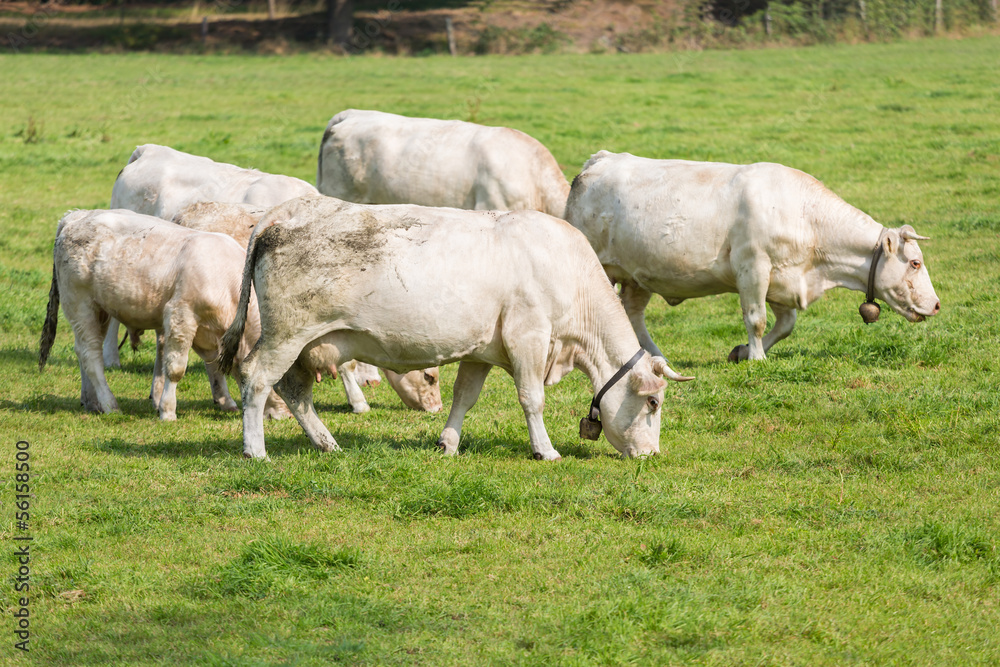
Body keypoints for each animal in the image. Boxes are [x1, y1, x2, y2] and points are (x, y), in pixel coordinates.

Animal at [37, 211, 288, 420]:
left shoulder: (210, 335)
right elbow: (175, 369)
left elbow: (216, 366)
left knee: (84, 351)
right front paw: (167, 411)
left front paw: (226, 402)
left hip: (100, 310)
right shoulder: (181, 316)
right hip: (80, 304)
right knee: (91, 354)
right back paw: (109, 404)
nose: (285, 415)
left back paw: (91, 401)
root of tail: (75, 216)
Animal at [217, 196, 688, 462]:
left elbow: (464, 397)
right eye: (652, 403)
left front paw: (447, 444)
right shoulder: (528, 337)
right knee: (256, 379)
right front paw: (546, 450)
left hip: (304, 343)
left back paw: (327, 444)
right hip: (286, 334)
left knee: (295, 392)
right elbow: (532, 399)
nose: (651, 455)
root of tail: (284, 212)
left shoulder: (482, 351)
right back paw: (255, 450)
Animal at [568, 151, 940, 360]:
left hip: (636, 276)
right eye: (915, 263)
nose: (936, 305)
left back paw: (655, 356)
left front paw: (743, 351)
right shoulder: (753, 268)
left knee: (632, 314)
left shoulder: (782, 280)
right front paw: (757, 357)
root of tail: (600, 159)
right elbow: (756, 319)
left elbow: (786, 325)